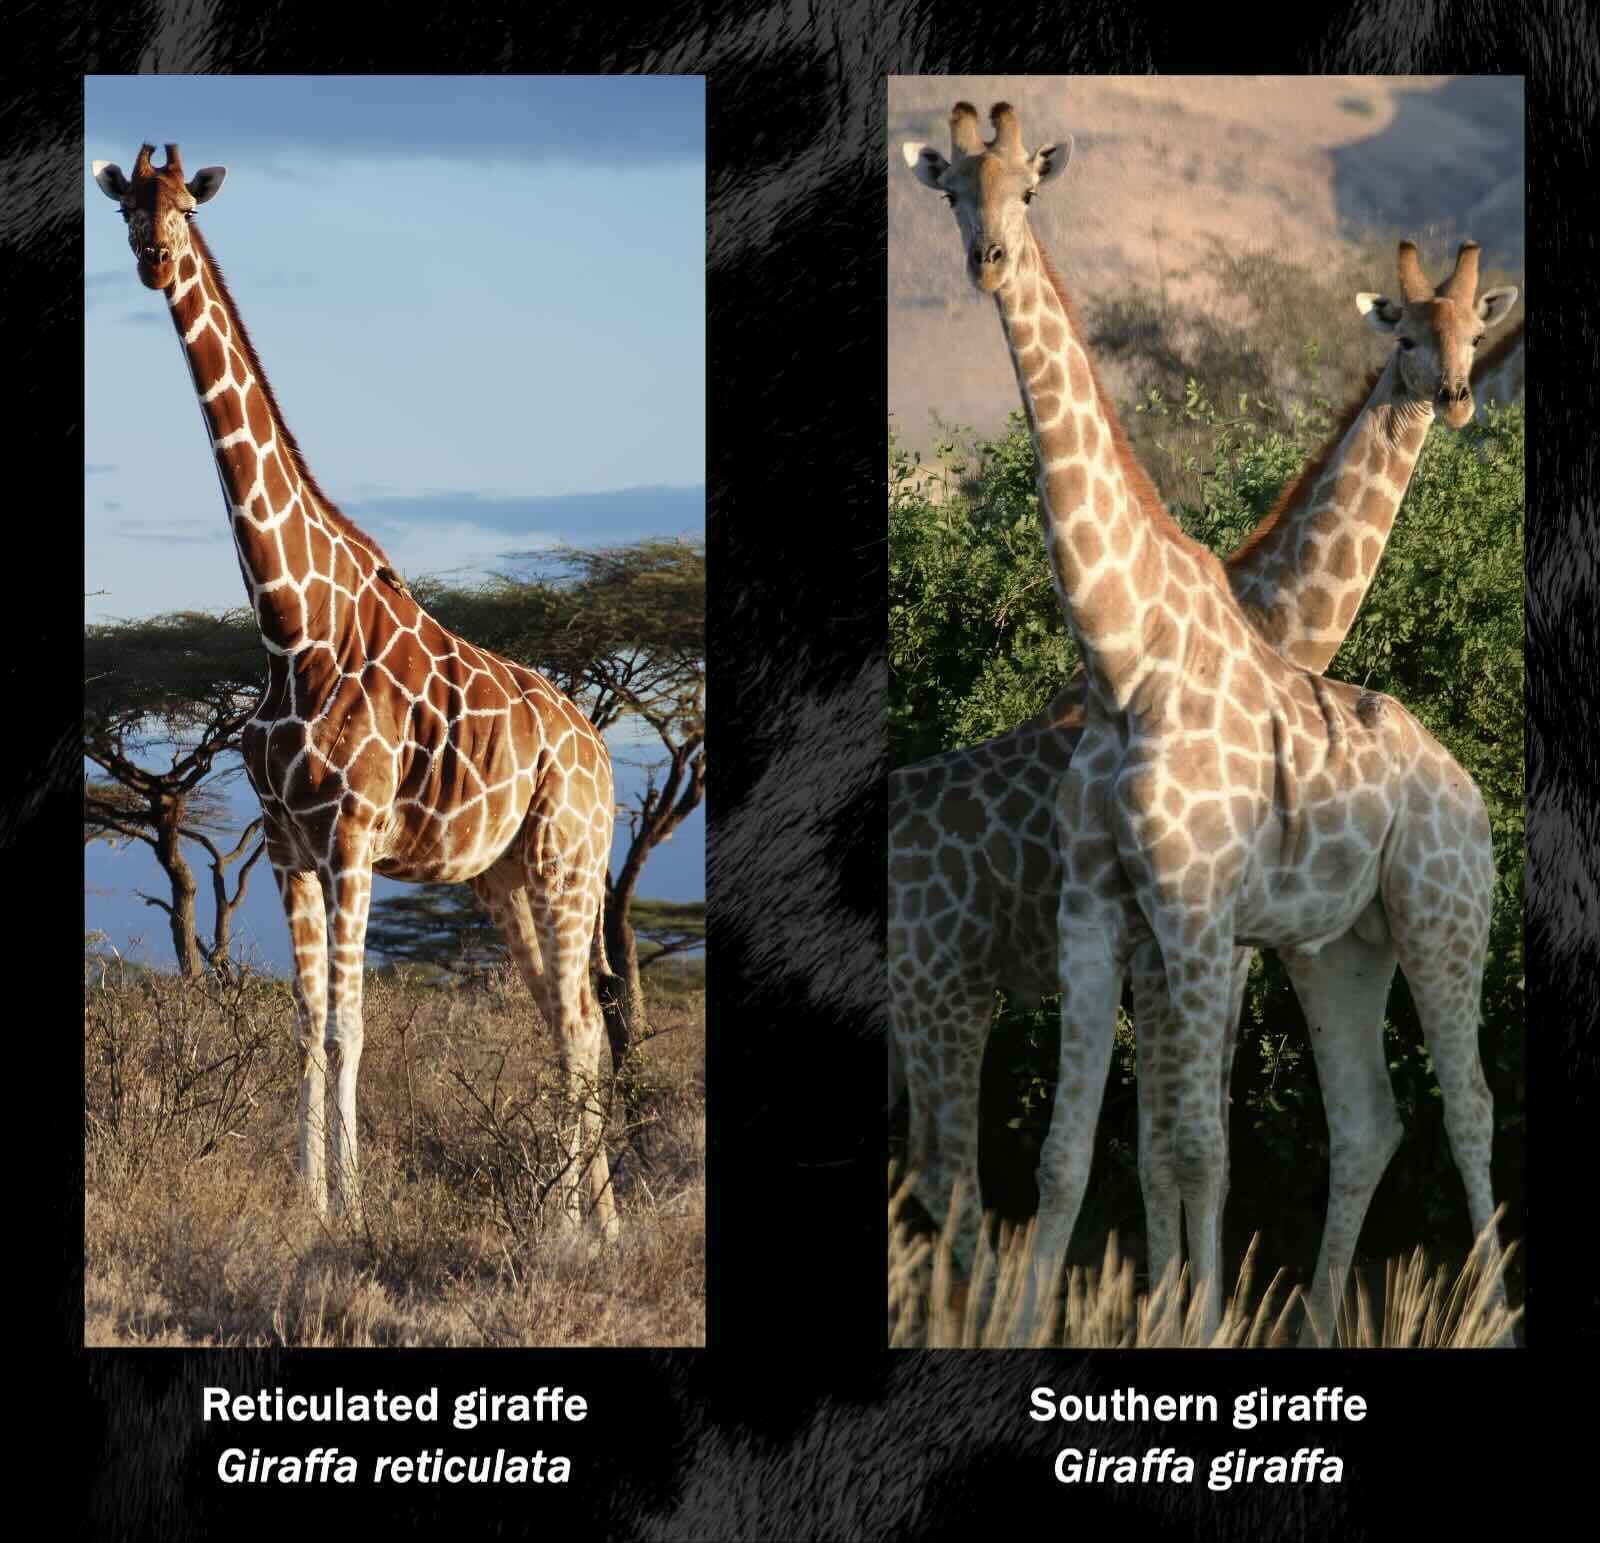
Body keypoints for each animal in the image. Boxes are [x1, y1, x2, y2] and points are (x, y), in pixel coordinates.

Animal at [93, 144, 621, 1237]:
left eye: (185, 208)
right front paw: (310, 1204)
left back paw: (583, 1223)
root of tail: (603, 756)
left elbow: (351, 1022)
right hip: (507, 878)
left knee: (582, 1022)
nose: (154, 260)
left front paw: (356, 1208)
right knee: (569, 1021)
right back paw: (584, 1226)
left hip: (569, 861)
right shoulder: (287, 844)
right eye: (126, 207)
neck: (290, 625)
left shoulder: (352, 836)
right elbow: (306, 1023)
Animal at [901, 103, 1513, 1342]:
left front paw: (1186, 1316)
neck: (1129, 652)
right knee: (1369, 1116)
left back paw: (1475, 1316)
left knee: (1460, 1103)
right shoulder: (1119, 918)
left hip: (1435, 914)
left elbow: (1179, 1145)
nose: (988, 261)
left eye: (1026, 190)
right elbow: (1092, 1152)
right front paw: (1093, 1322)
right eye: (951, 190)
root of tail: (1465, 780)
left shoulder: (1198, 924)